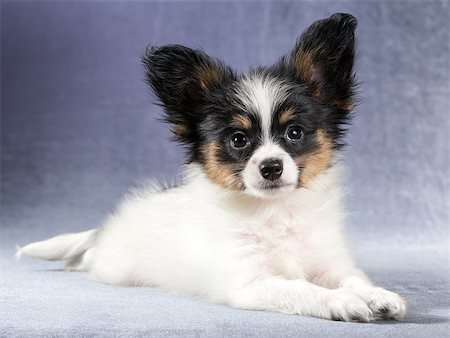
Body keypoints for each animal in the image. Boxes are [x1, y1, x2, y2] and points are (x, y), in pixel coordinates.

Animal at [15, 12, 406, 322]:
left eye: (294, 133)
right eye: (238, 140)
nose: (271, 167)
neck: (276, 211)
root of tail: (115, 223)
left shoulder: (329, 263)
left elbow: (353, 278)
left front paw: (377, 295)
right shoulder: (251, 282)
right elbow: (303, 290)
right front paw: (342, 302)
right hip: (116, 267)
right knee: (93, 258)